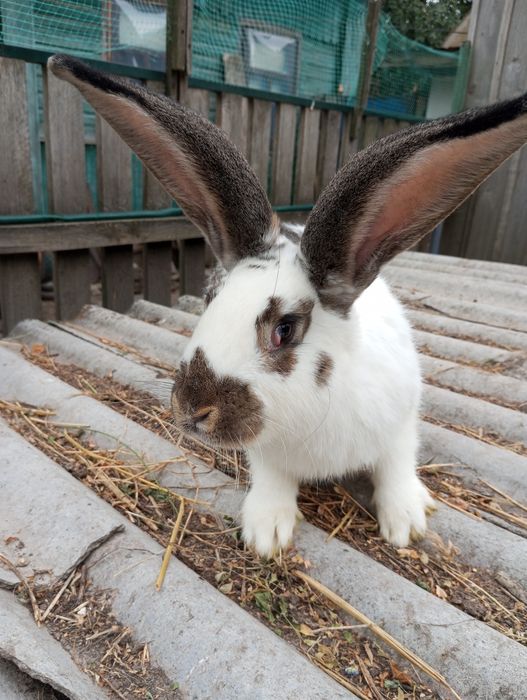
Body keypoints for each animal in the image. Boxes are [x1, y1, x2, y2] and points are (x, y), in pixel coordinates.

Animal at [49, 54, 527, 556]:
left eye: (285, 329)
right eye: (209, 298)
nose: (191, 409)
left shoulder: (400, 423)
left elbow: (396, 464)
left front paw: (406, 523)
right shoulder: (268, 453)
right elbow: (273, 479)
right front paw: (267, 532)